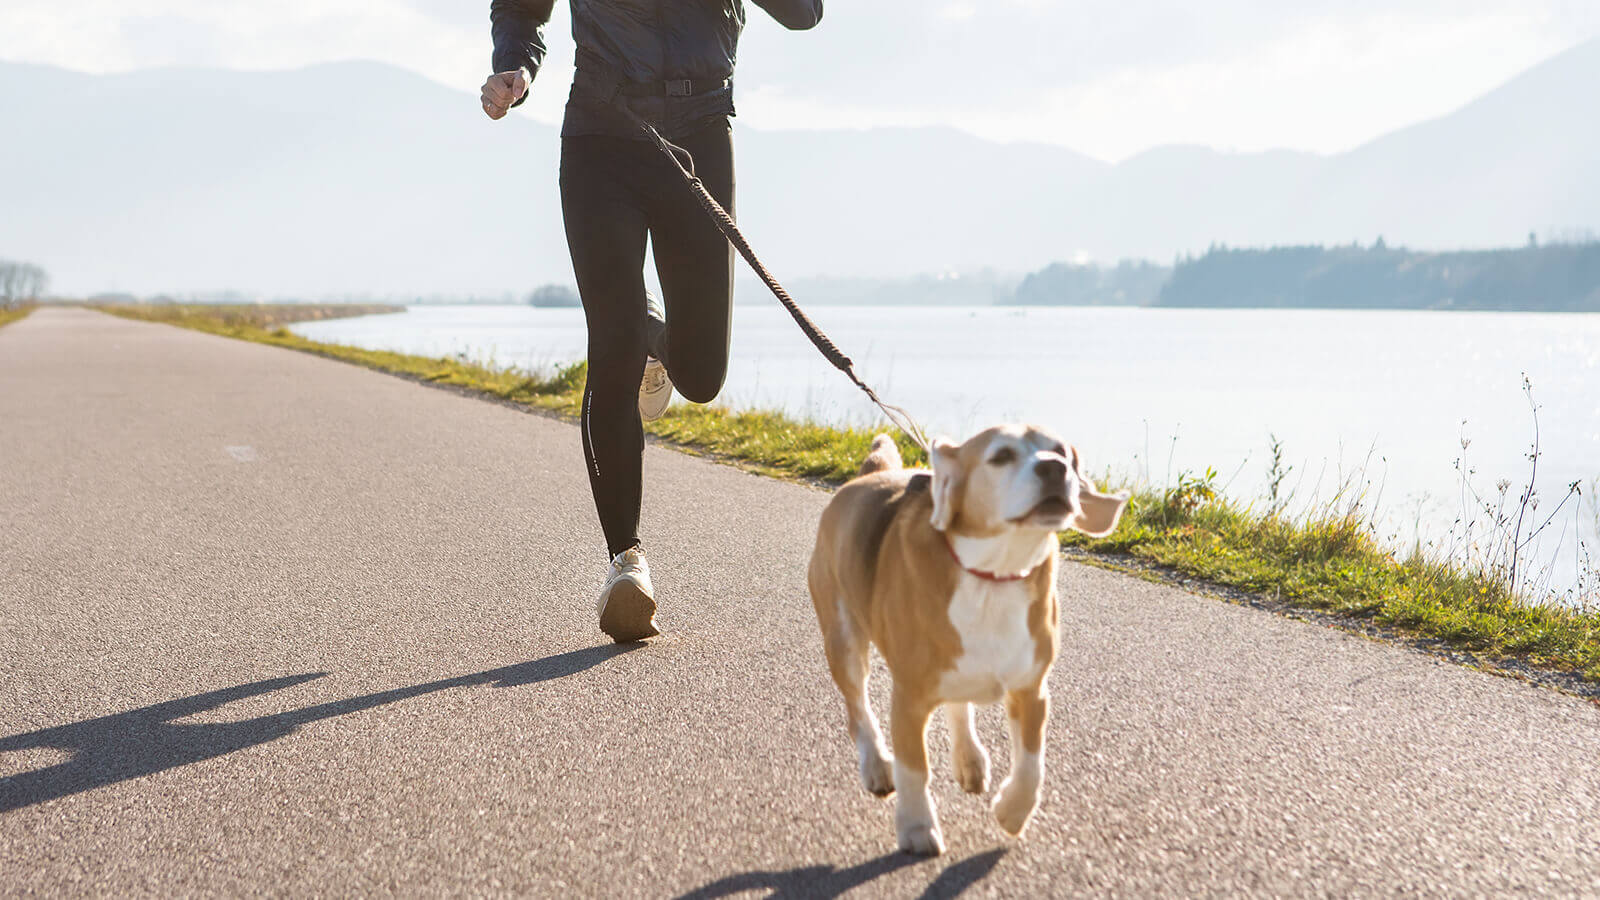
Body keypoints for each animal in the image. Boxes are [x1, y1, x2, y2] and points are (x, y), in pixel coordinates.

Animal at [806, 422, 1132, 851]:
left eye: (1062, 452)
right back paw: (877, 765)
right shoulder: (909, 699)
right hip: (843, 642)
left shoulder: (1032, 690)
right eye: (1001, 456)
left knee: (958, 704)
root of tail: (864, 477)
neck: (994, 575)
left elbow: (1032, 765)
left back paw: (968, 758)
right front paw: (917, 827)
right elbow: (915, 768)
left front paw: (1012, 812)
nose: (1054, 468)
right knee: (858, 710)